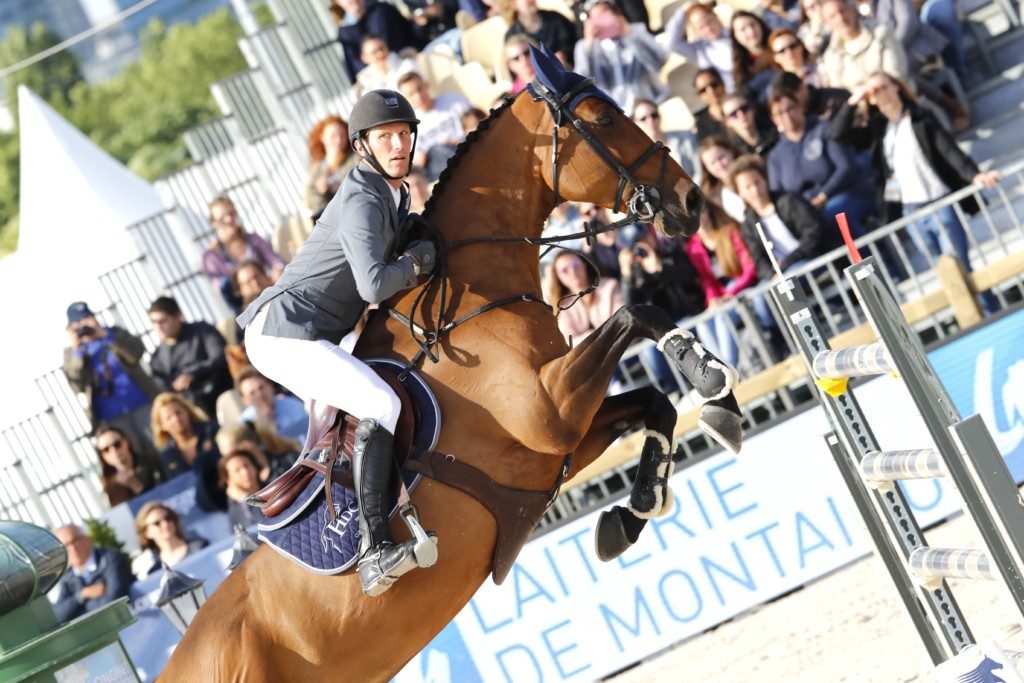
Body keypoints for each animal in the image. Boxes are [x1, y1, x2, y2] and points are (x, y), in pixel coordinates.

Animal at [165, 50, 745, 679]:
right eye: (606, 118)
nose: (691, 201)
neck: (471, 294)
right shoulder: (548, 414)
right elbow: (638, 313)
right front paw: (713, 381)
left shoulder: (554, 449)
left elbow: (654, 403)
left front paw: (633, 512)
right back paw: (384, 560)